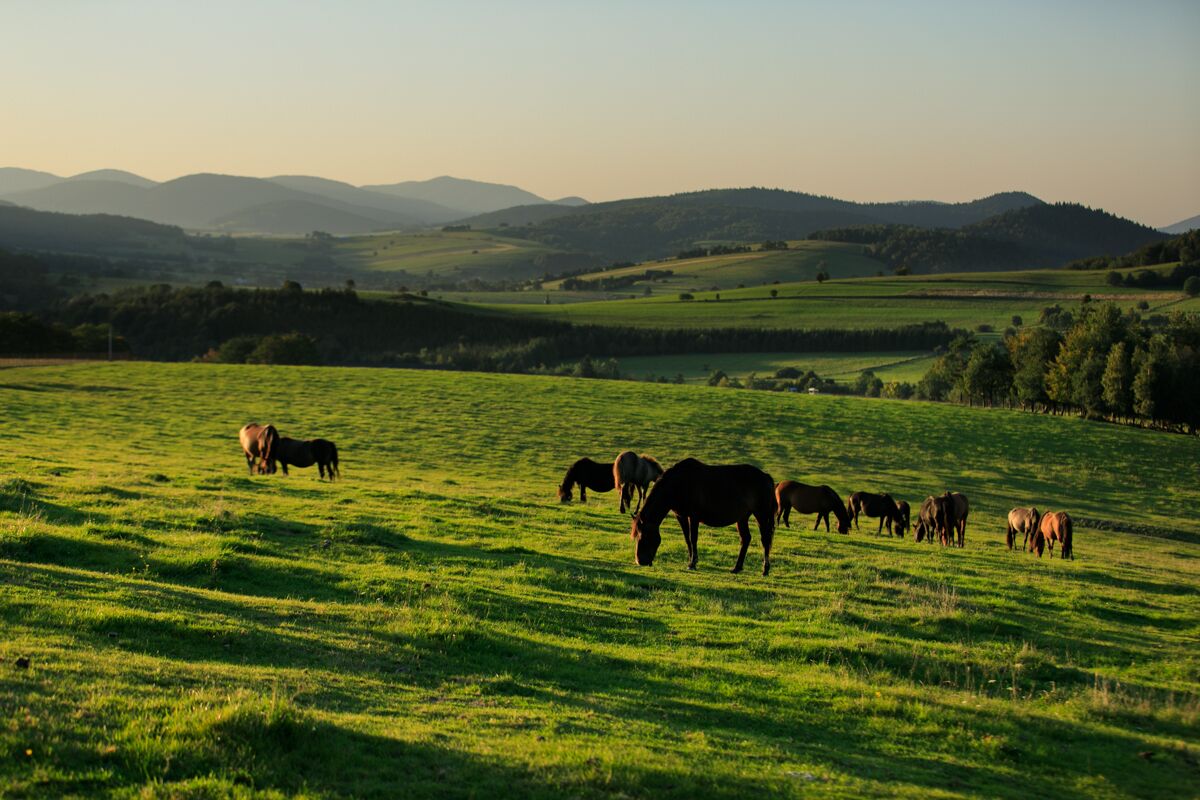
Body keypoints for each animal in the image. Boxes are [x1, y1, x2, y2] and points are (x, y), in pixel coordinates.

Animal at [631, 458, 776, 576]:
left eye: (643, 536)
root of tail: (766, 477)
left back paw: (765, 570)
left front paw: (693, 563)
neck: (679, 483)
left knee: (765, 539)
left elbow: (693, 538)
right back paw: (737, 568)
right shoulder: (681, 516)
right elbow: (687, 539)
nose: (640, 561)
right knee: (746, 539)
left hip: (761, 515)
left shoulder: (694, 517)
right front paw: (691, 561)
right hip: (742, 518)